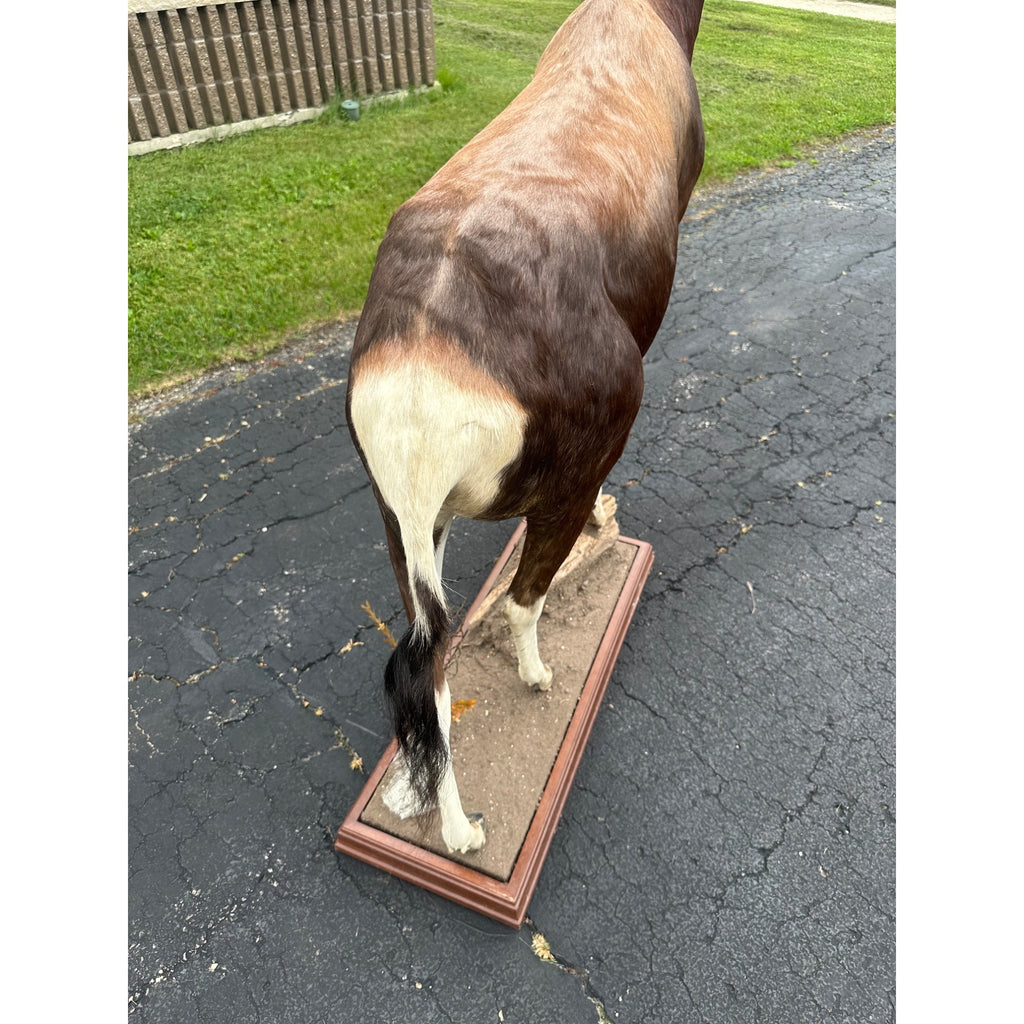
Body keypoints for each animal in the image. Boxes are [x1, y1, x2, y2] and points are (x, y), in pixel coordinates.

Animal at [346, 0, 705, 853]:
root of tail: (427, 357)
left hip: (408, 525)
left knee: (431, 661)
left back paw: (456, 833)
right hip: (553, 490)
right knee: (518, 600)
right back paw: (537, 680)